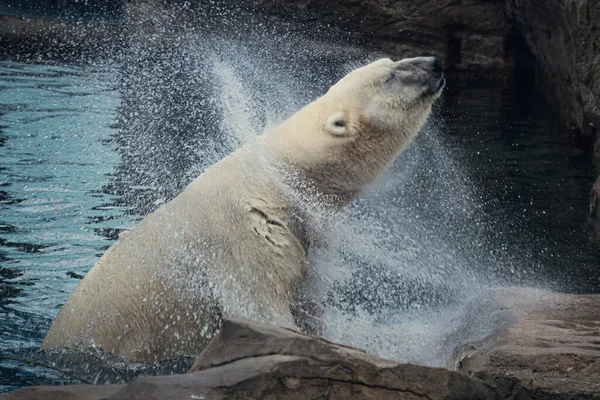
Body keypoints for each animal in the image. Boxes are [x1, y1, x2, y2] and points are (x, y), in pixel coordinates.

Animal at [43, 57, 446, 362]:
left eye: (390, 61)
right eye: (389, 76)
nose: (435, 63)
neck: (275, 179)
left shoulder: (306, 240)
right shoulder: (245, 241)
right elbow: (262, 312)